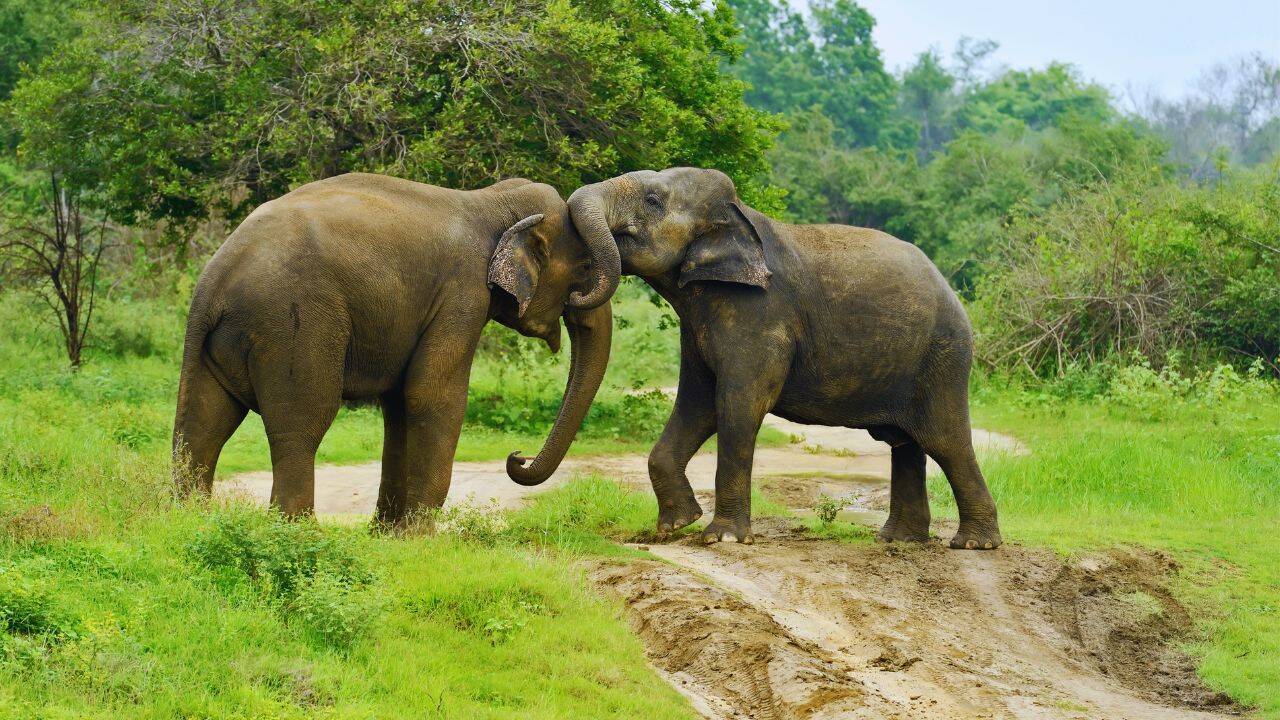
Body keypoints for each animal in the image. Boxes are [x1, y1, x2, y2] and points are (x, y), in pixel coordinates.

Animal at [172, 172, 621, 524]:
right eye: (585, 268)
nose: (517, 457)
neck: (494, 201)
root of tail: (213, 281)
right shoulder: (463, 293)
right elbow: (431, 394)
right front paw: (420, 537)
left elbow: (401, 402)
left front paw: (388, 535)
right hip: (293, 323)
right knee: (302, 421)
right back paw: (298, 532)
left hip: (218, 341)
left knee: (203, 420)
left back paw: (191, 519)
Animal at [562, 167, 1001, 549]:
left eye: (653, 200)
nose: (573, 293)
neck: (739, 213)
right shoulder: (700, 323)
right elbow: (697, 403)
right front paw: (677, 525)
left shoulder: (761, 313)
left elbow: (738, 404)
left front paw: (722, 538)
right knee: (907, 443)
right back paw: (899, 540)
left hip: (943, 358)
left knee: (945, 440)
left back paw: (974, 544)